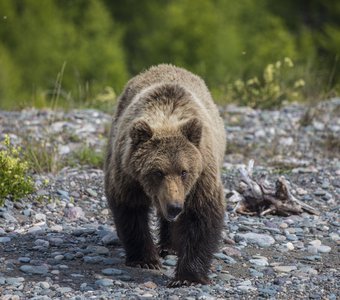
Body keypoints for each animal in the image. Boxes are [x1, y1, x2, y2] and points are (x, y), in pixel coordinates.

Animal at [103, 63, 226, 286]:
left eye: (185, 171)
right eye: (157, 172)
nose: (175, 207)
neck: (167, 117)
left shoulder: (201, 175)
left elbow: (202, 213)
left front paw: (187, 276)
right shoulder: (128, 174)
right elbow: (130, 209)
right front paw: (145, 260)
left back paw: (170, 246)